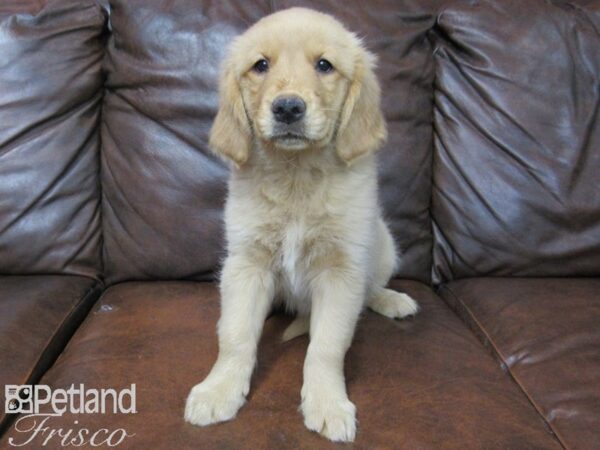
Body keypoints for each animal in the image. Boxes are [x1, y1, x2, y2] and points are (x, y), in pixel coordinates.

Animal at [185, 7, 420, 442]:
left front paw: (327, 403)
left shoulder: (341, 270)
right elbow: (235, 335)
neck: (296, 175)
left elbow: (327, 345)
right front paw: (219, 389)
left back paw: (390, 299)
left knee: (370, 289)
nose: (288, 109)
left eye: (324, 65)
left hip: (382, 244)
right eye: (260, 65)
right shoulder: (246, 265)